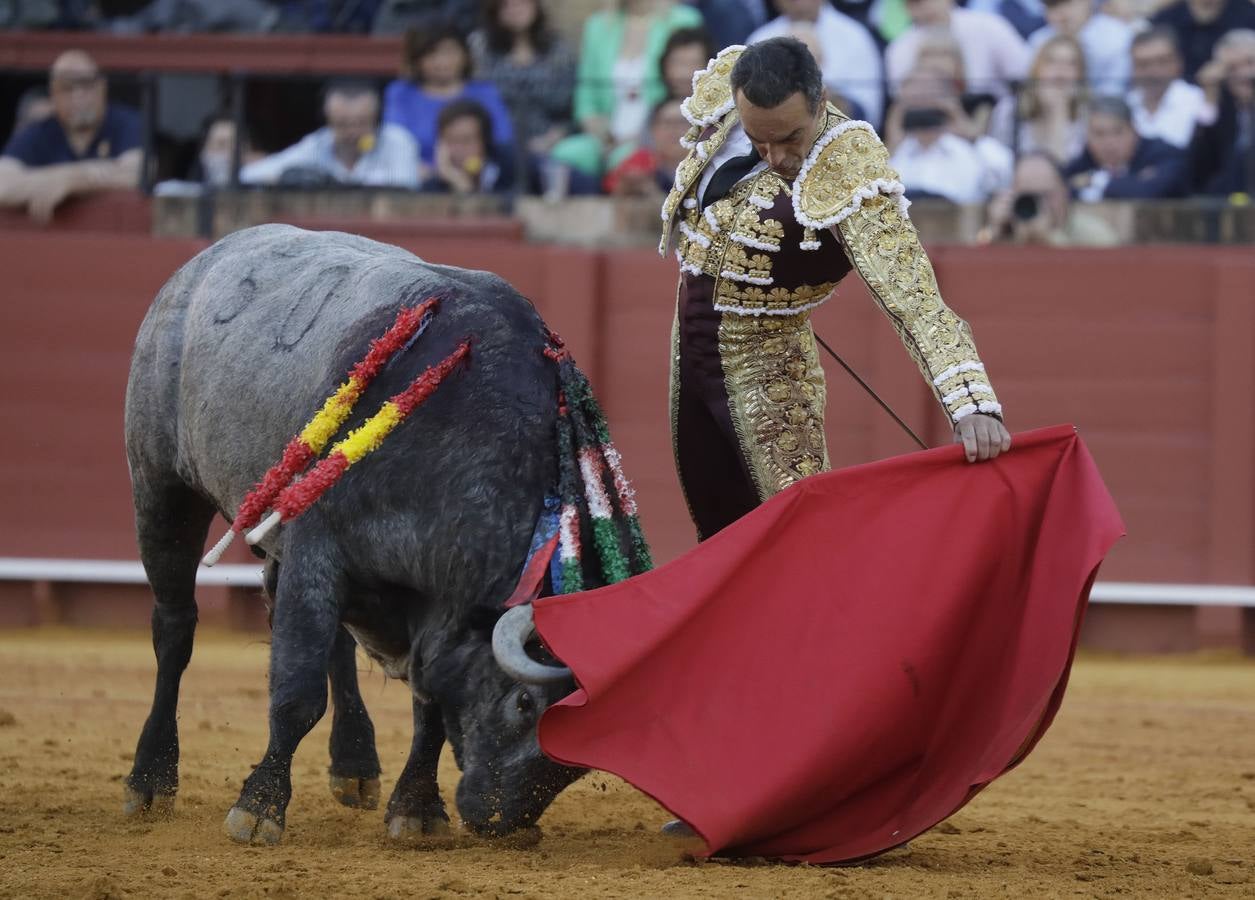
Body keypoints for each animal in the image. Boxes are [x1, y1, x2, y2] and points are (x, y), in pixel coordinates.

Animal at [119, 224, 604, 843]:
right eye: (524, 703)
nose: (500, 821)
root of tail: (203, 262)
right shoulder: (317, 549)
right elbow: (297, 693)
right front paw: (258, 808)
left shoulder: (422, 606)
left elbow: (429, 707)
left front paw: (416, 809)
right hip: (161, 485)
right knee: (175, 628)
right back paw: (149, 779)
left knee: (330, 638)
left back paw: (354, 766)